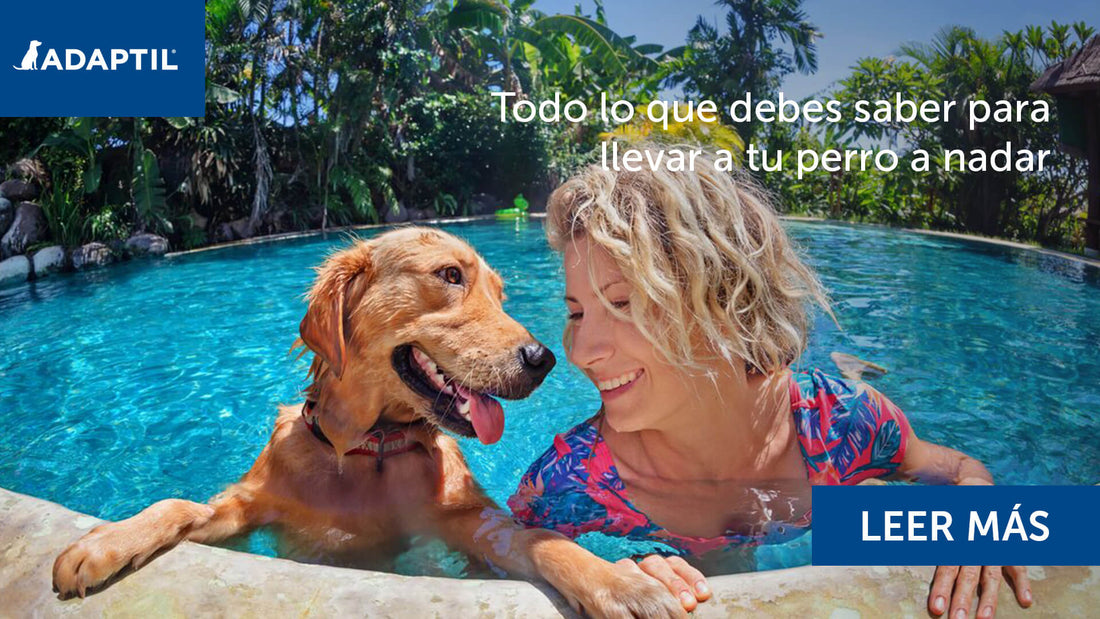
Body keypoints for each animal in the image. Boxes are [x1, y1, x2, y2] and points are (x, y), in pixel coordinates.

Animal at [58, 229, 686, 615]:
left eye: (499, 293)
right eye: (450, 275)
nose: (543, 359)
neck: (366, 452)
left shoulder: (470, 523)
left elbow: (538, 539)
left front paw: (620, 582)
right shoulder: (245, 510)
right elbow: (179, 505)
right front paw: (104, 542)